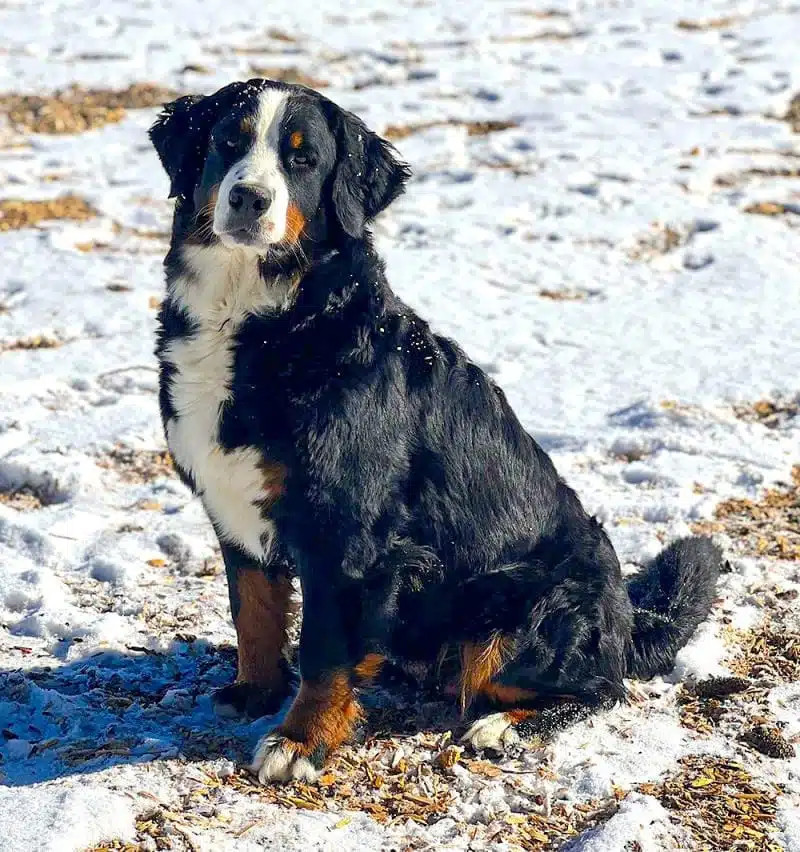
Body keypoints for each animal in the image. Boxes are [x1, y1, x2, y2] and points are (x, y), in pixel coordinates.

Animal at [147, 81, 720, 784]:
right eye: (229, 140)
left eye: (302, 160)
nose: (250, 197)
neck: (261, 317)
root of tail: (626, 619)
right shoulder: (233, 507)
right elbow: (253, 613)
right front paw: (255, 692)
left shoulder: (347, 533)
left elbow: (323, 651)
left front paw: (301, 741)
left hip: (525, 608)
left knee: (597, 689)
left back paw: (501, 726)